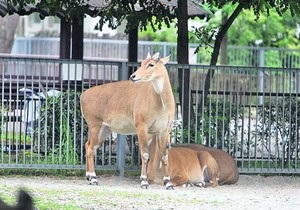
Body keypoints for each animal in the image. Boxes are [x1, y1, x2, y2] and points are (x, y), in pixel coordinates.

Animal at [81, 52, 177, 189]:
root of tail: (83, 95)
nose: (133, 76)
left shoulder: (163, 130)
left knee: (88, 145)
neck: (162, 103)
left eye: (151, 64)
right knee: (90, 149)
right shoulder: (142, 126)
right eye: (142, 63)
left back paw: (88, 176)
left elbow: (164, 155)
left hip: (105, 129)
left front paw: (168, 183)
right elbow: (145, 154)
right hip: (95, 125)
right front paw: (143, 181)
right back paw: (94, 178)